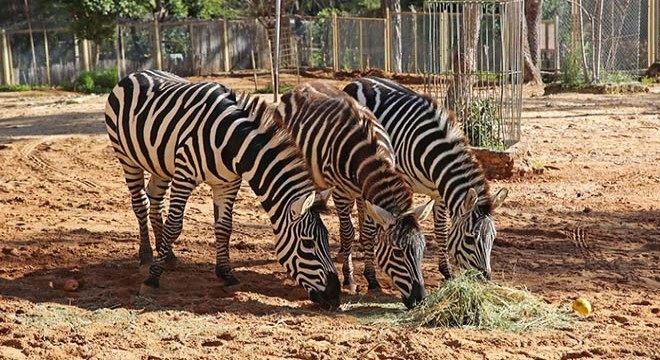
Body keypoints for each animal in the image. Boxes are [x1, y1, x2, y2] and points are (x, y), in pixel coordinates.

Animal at [104, 71, 340, 310]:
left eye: (327, 238)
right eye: (308, 243)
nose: (335, 295)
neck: (232, 143)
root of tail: (138, 73)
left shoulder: (228, 183)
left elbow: (224, 227)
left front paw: (227, 275)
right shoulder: (185, 175)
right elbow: (174, 226)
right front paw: (152, 279)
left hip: (160, 164)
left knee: (155, 199)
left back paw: (168, 255)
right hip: (126, 157)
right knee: (140, 203)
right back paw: (146, 257)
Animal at [270, 82, 436, 310]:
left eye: (422, 249)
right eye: (397, 253)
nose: (419, 300)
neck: (368, 154)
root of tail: (301, 86)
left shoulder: (368, 194)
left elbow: (368, 234)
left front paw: (372, 280)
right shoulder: (341, 191)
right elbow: (347, 231)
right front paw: (349, 278)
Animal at [346, 76, 510, 282]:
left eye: (493, 237)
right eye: (469, 238)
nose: (485, 278)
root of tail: (360, 79)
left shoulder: (439, 192)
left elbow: (441, 231)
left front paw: (447, 272)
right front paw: (371, 275)